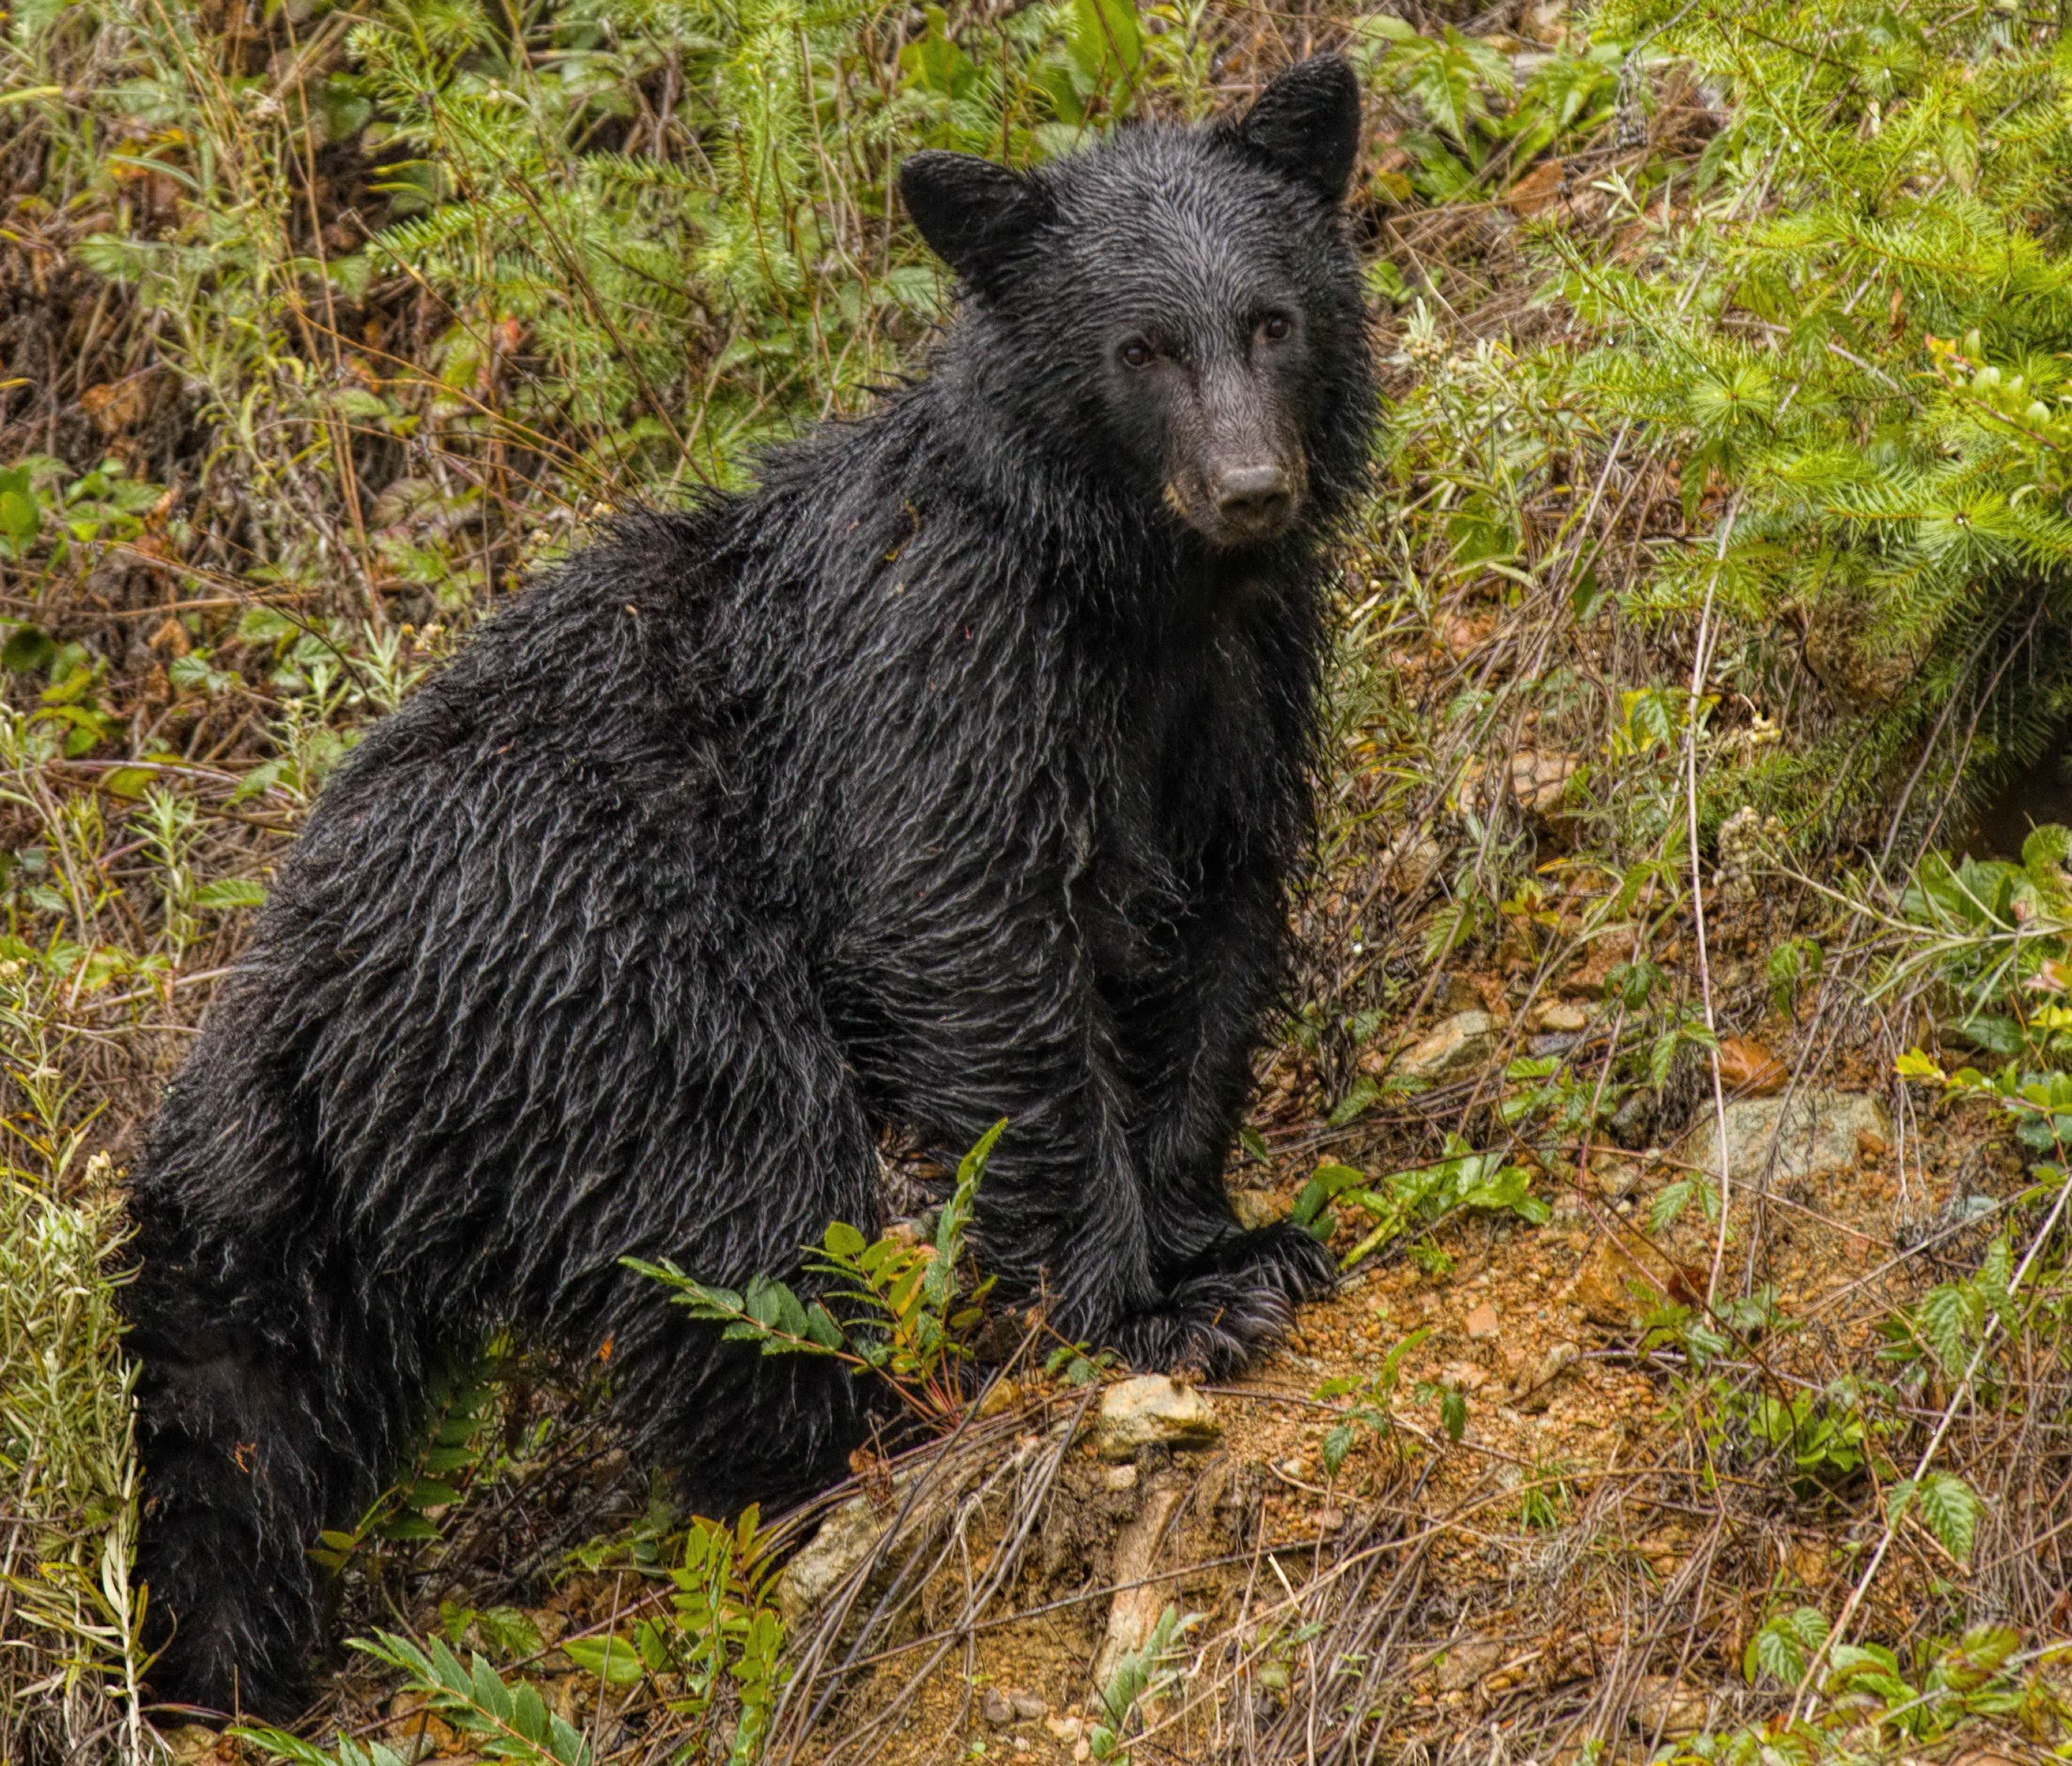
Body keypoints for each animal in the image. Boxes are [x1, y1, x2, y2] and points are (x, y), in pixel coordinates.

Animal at [124, 54, 1377, 1719]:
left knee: (251, 1404)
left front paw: (1228, 1239)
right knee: (748, 1198)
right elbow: (979, 945)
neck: (1132, 593)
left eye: (1272, 320)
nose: (1248, 488)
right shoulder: (940, 672)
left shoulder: (1239, 699)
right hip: (605, 988)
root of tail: (281, 995)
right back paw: (852, 1429)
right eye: (1141, 348)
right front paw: (1147, 1309)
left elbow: (1217, 941)